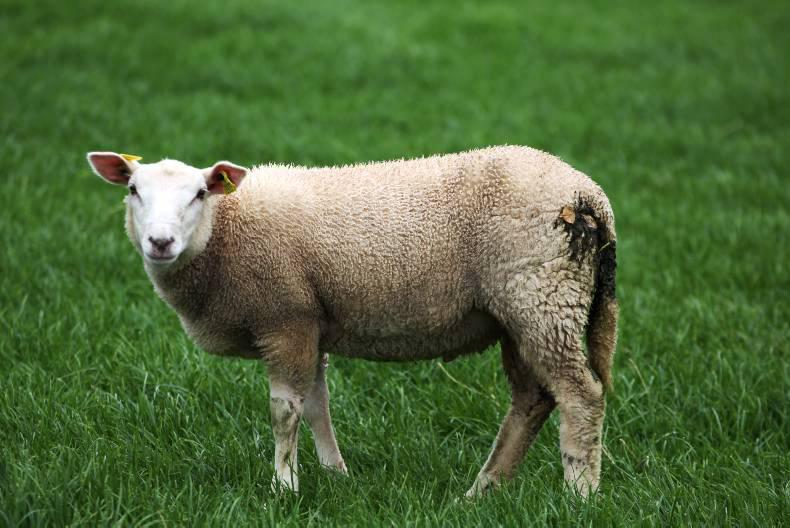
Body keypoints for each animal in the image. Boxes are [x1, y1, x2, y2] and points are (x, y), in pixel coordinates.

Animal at [86, 146, 618, 498]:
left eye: (199, 194)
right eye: (133, 190)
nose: (159, 242)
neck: (225, 232)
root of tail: (588, 193)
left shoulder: (286, 317)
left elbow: (284, 410)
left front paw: (284, 486)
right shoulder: (311, 323)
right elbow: (316, 404)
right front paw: (334, 475)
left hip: (542, 298)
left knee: (581, 396)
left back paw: (579, 496)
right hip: (520, 313)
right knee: (532, 399)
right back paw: (483, 490)